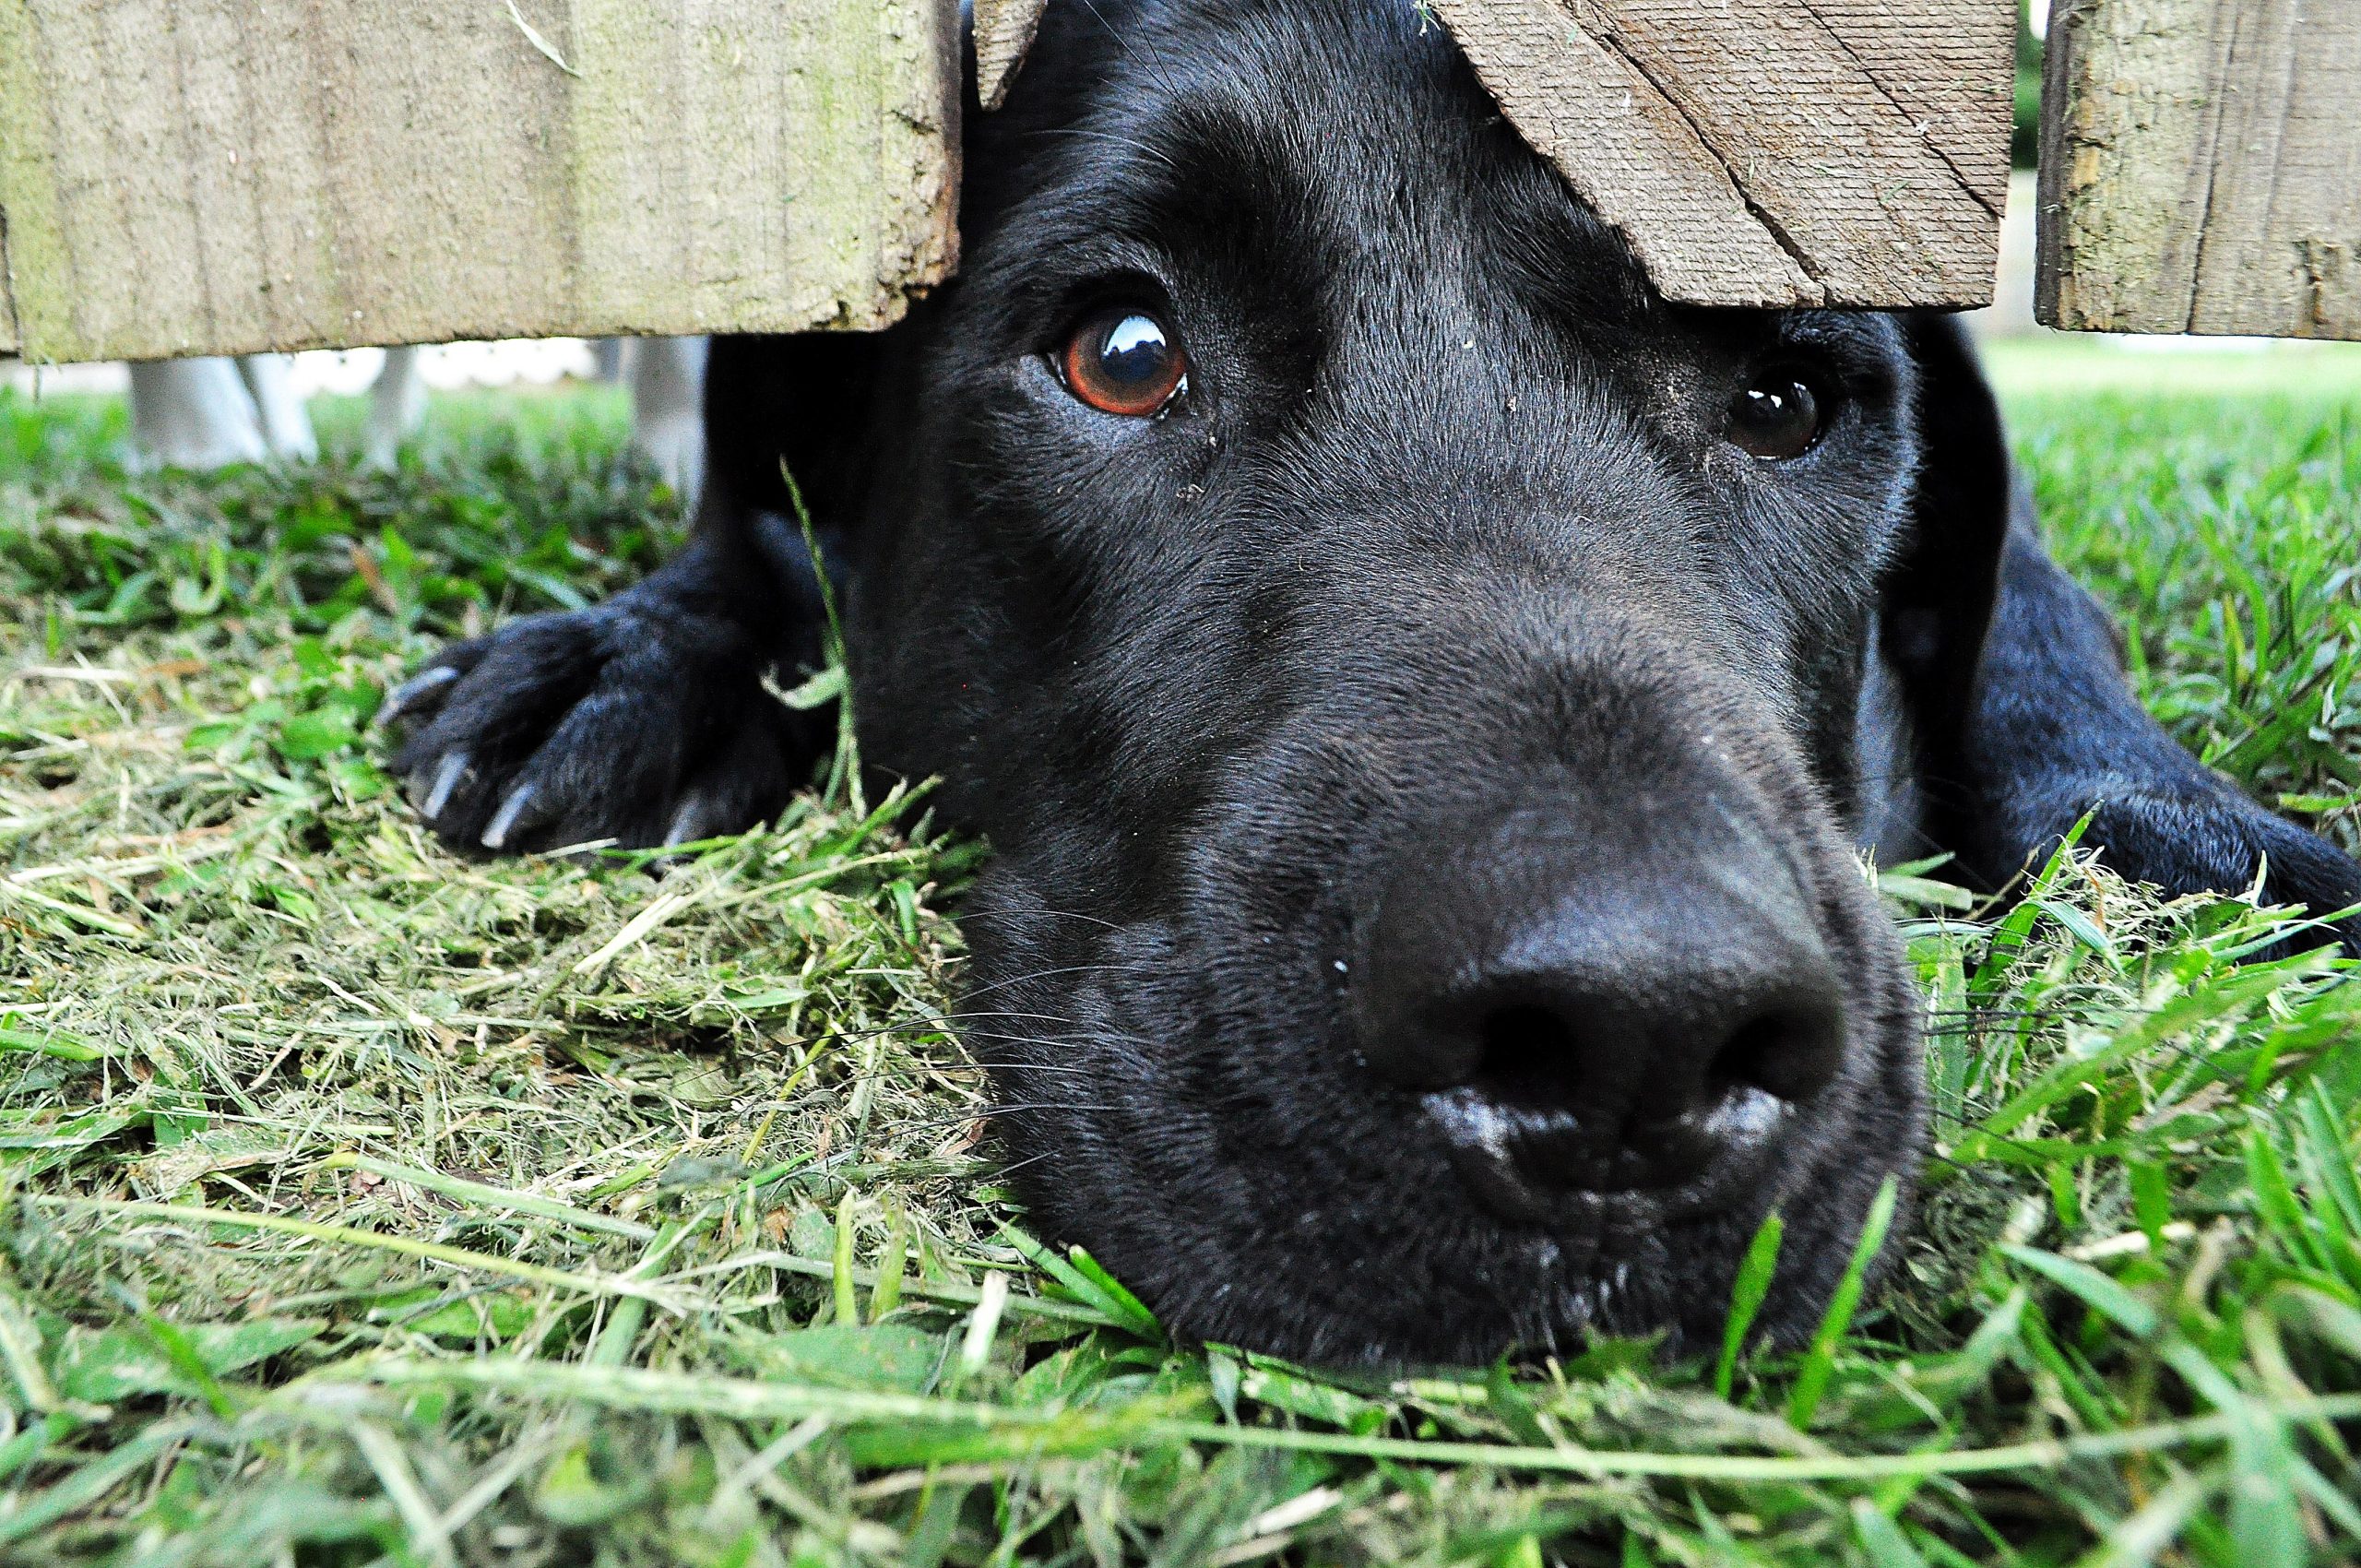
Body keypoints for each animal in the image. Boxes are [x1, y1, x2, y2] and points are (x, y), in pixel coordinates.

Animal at [391, 0, 2361, 1369]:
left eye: (1787, 395)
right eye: (1121, 353)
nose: (1632, 1038)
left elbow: (2051, 634)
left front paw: (2185, 826)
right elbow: (746, 541)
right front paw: (625, 660)